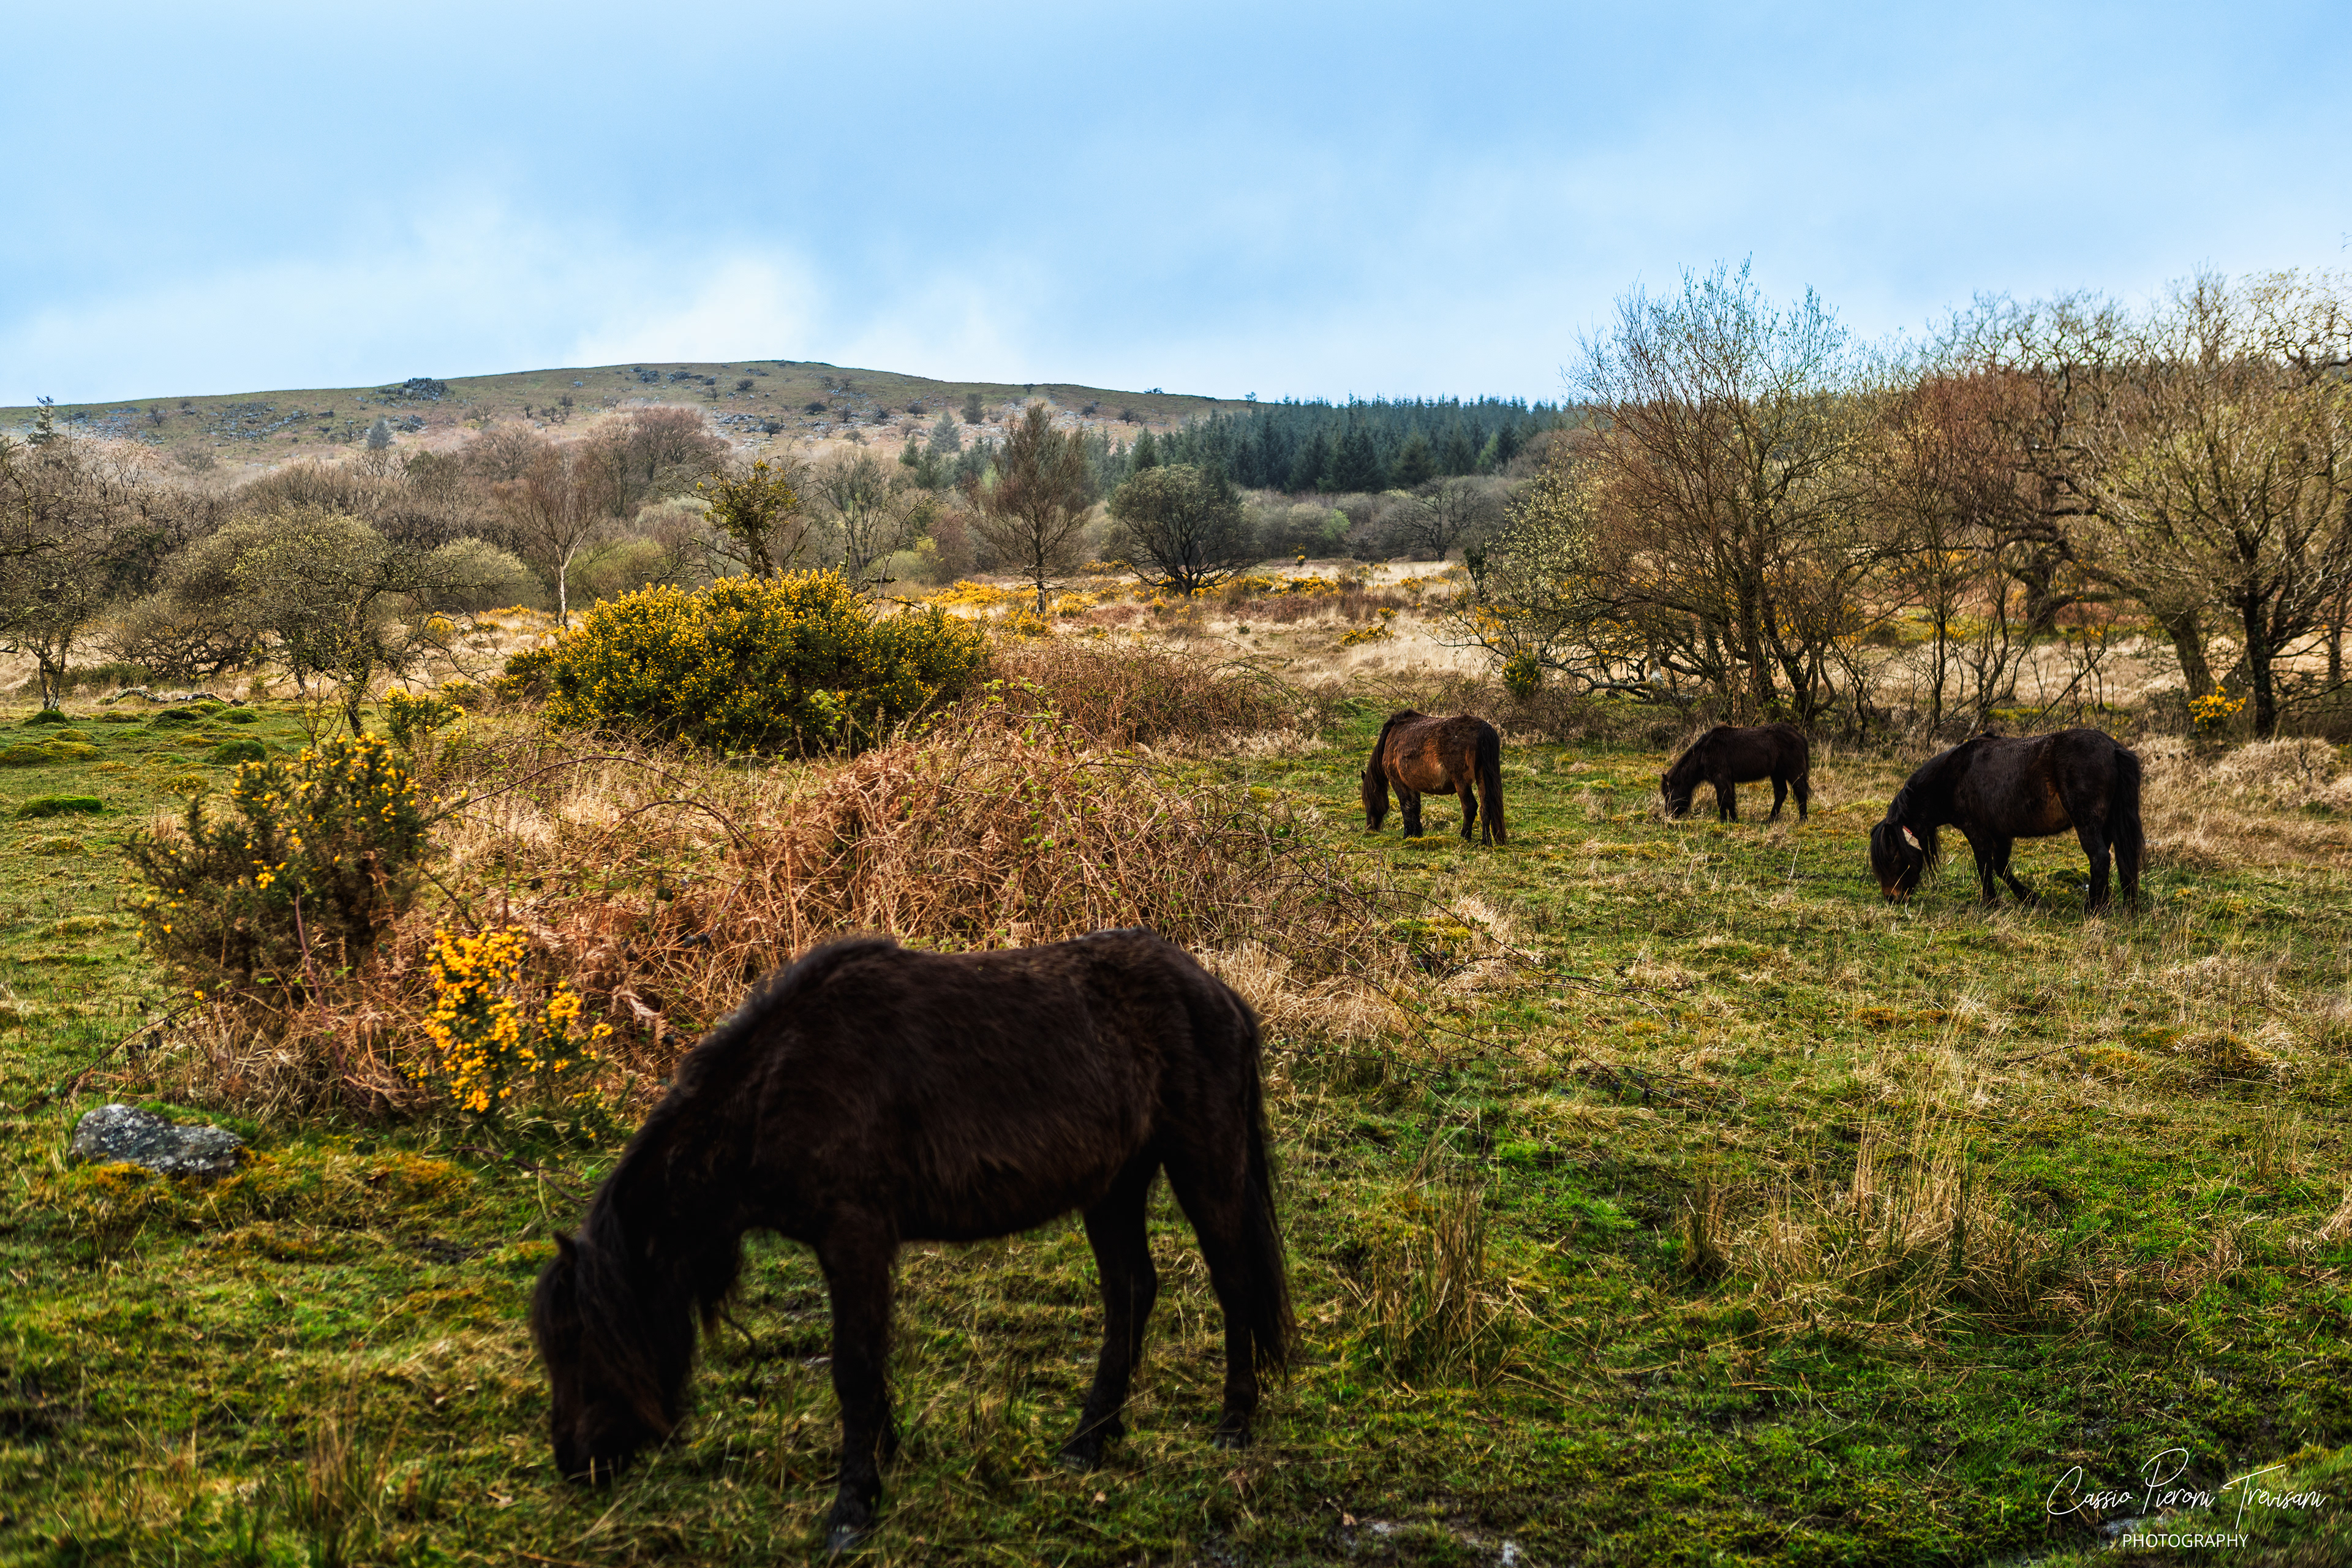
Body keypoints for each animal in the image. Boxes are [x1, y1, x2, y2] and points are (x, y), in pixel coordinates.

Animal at [530, 930, 1294, 1553]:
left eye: (582, 1342)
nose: (574, 1460)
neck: (781, 1079)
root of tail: (1216, 990)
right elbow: (872, 1359)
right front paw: (881, 1459)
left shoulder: (854, 1236)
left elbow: (854, 1366)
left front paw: (853, 1506)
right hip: (1112, 1186)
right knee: (1130, 1293)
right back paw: (1088, 1441)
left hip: (1203, 1165)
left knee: (1233, 1284)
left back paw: (1234, 1422)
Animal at [1361, 711, 1507, 845]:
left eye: (1366, 800)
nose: (1370, 828)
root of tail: (1483, 727)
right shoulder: (1412, 784)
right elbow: (1415, 806)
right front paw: (1416, 833)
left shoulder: (1398, 781)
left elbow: (1406, 806)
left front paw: (1407, 834)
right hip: (1482, 776)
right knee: (1485, 808)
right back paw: (1485, 841)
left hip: (1461, 781)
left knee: (1470, 806)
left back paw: (1465, 836)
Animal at [1661, 723, 1812, 823]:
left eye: (1668, 793)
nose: (1668, 816)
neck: (1705, 752)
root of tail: (1800, 737)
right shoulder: (1728, 780)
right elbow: (1731, 799)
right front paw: (1734, 820)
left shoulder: (1720, 778)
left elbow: (1722, 800)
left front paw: (1723, 821)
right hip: (1777, 774)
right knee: (1781, 793)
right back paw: (1770, 820)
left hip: (1793, 772)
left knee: (1801, 792)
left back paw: (1803, 820)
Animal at [1868, 728, 2143, 913]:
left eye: (1893, 857)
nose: (1892, 898)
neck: (1952, 775)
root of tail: (2113, 748)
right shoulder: (2001, 833)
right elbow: (2001, 867)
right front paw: (2031, 899)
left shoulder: (1976, 831)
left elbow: (1984, 864)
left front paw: (1990, 901)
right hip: (2108, 825)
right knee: (2114, 860)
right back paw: (2115, 906)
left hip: (2087, 824)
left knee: (2100, 858)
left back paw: (2093, 910)